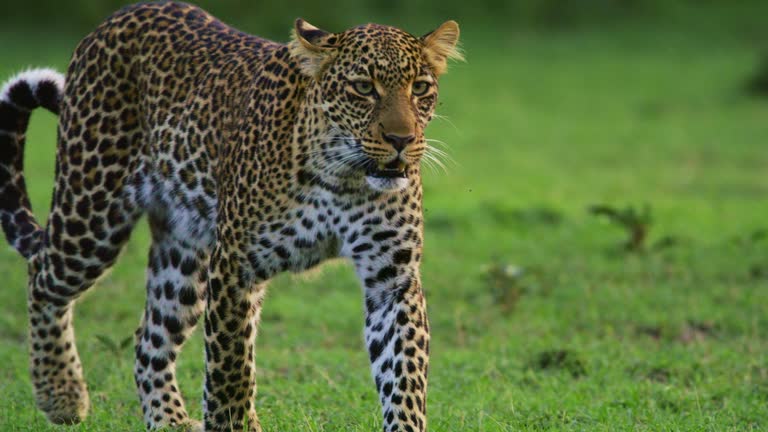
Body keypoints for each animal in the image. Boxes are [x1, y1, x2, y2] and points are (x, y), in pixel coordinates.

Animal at [0, 1, 460, 430]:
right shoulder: (235, 265)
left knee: (148, 337)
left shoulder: (392, 278)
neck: (343, 177)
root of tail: (116, 18)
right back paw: (61, 394)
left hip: (184, 257)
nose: (402, 140)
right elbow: (230, 367)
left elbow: (404, 374)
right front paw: (233, 422)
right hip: (91, 212)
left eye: (420, 87)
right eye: (363, 87)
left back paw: (169, 420)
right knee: (42, 277)